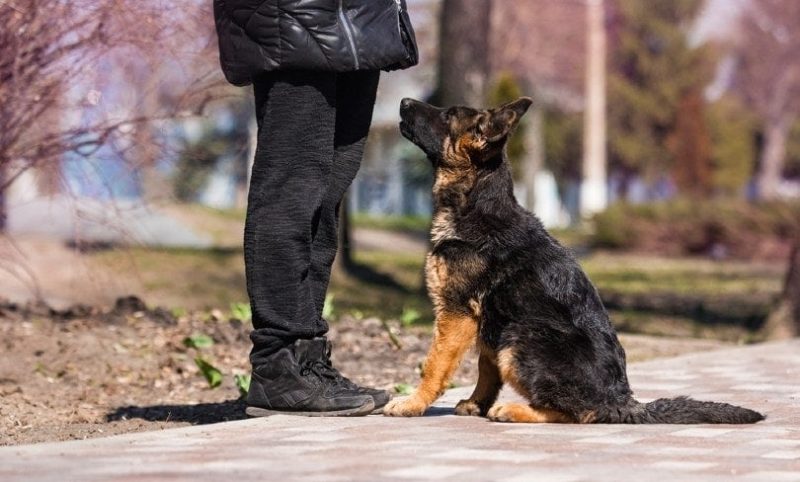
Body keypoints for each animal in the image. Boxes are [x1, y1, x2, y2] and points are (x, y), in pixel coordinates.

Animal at [384, 97, 764, 422]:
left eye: (448, 115)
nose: (402, 101)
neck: (477, 206)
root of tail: (622, 401)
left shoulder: (457, 314)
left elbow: (434, 365)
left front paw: (413, 403)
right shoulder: (488, 320)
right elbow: (486, 369)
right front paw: (476, 403)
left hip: (520, 336)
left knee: (577, 412)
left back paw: (516, 410)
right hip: (510, 331)